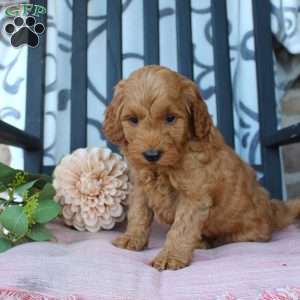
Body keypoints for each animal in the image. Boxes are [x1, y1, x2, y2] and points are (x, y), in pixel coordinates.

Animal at [103, 66, 300, 272]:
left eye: (170, 118)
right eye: (133, 120)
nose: (151, 155)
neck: (164, 168)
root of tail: (273, 210)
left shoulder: (194, 196)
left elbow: (181, 228)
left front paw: (170, 256)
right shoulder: (141, 187)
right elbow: (138, 214)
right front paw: (131, 238)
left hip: (251, 230)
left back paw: (204, 242)